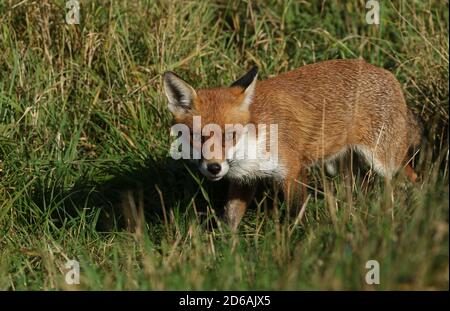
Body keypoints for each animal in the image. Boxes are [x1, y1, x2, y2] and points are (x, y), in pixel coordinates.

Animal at [163, 59, 422, 230]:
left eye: (231, 135)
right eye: (198, 137)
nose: (214, 168)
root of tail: (389, 75)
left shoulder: (293, 171)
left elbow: (296, 216)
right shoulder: (243, 181)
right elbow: (230, 219)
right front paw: (227, 253)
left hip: (384, 162)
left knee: (412, 179)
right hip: (342, 167)